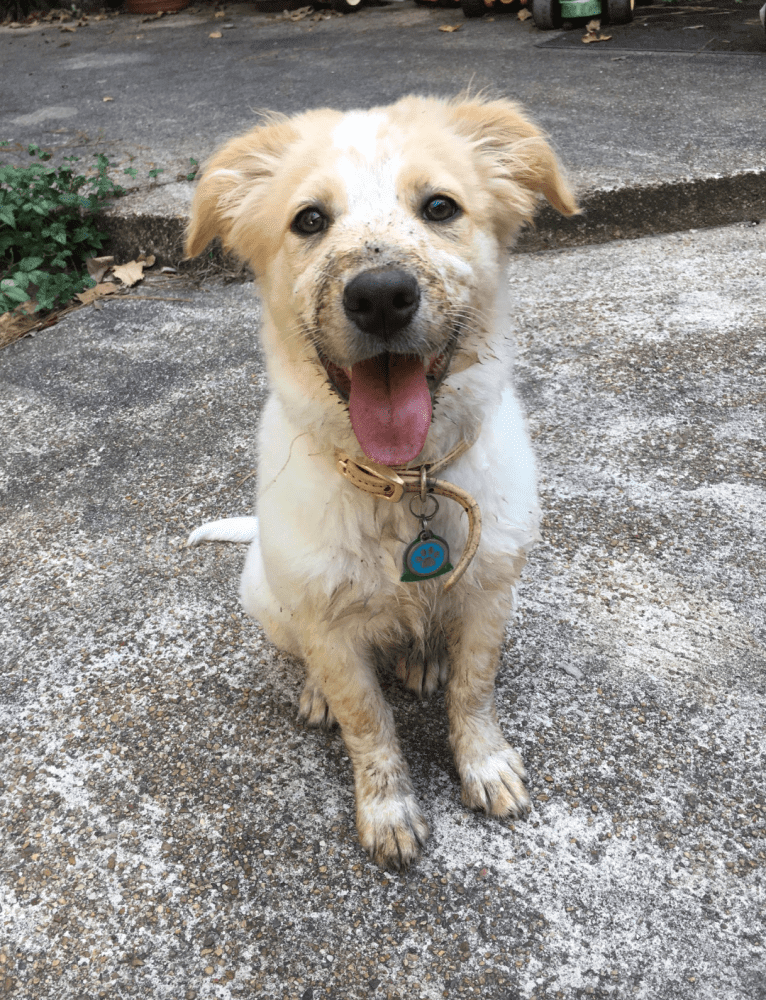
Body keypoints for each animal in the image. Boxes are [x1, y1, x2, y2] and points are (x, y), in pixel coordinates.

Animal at [188, 97, 576, 872]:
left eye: (440, 206)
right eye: (309, 219)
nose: (380, 296)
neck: (404, 480)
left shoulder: (491, 593)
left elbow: (475, 689)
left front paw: (484, 764)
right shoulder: (331, 629)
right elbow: (366, 721)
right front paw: (388, 810)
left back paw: (423, 660)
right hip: (266, 596)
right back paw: (317, 692)